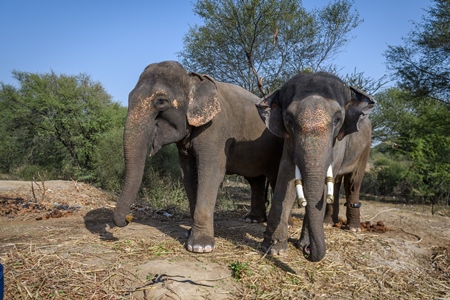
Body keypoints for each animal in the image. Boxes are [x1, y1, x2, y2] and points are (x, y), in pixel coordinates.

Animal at [112, 61, 282, 253]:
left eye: (161, 101)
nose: (127, 220)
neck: (192, 78)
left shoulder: (215, 129)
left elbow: (210, 173)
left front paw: (200, 247)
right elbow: (188, 174)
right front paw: (189, 234)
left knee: (274, 178)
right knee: (255, 180)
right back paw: (253, 219)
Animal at [256, 71, 376, 262]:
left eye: (337, 119)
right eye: (289, 120)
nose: (307, 252)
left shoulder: (338, 142)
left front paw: (303, 245)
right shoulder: (289, 140)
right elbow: (286, 180)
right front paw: (273, 249)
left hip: (365, 148)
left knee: (352, 183)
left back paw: (353, 228)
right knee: (336, 183)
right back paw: (327, 224)